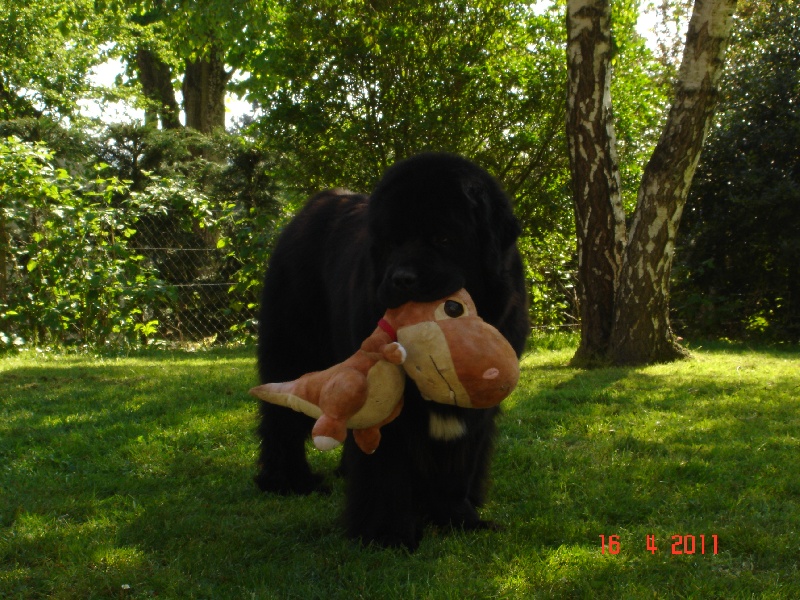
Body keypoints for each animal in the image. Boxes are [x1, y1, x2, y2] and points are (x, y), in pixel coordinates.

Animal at [255, 152, 529, 550]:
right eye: (391, 242)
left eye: (443, 238)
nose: (402, 279)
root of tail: (311, 206)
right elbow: (388, 466)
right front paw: (387, 533)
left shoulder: (477, 403)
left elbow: (458, 459)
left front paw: (457, 518)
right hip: (291, 348)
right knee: (281, 420)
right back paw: (289, 482)